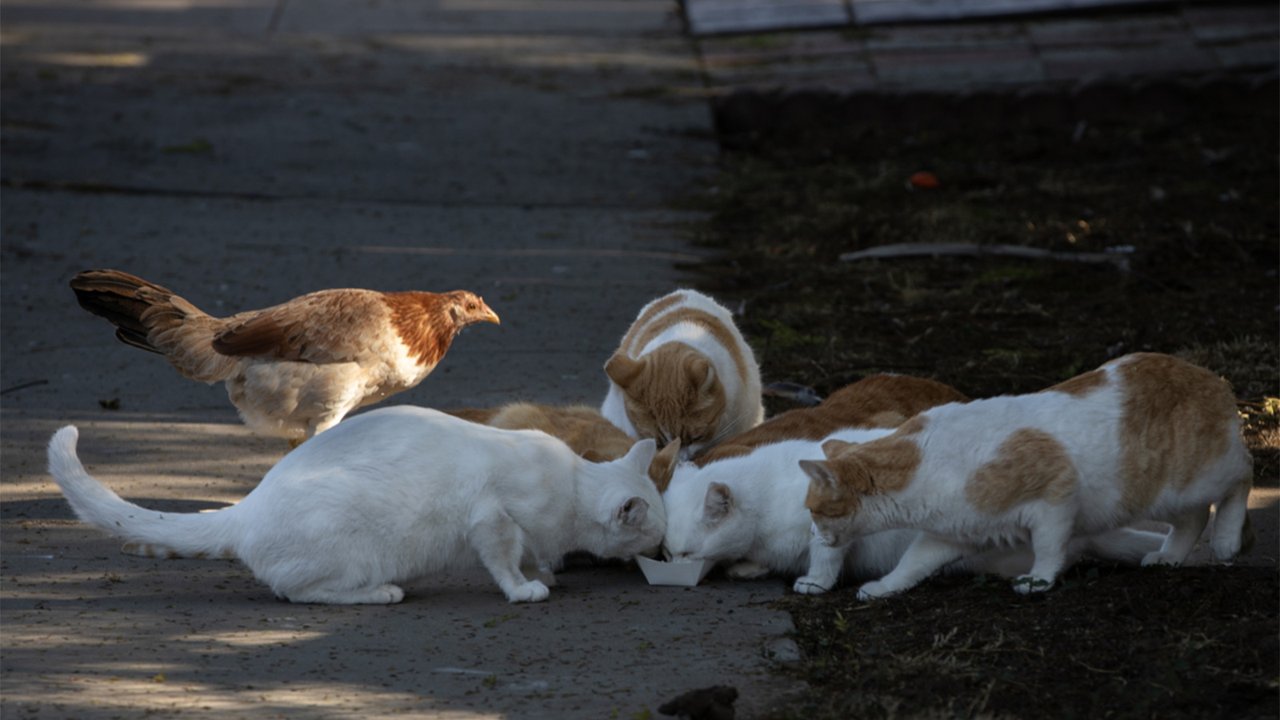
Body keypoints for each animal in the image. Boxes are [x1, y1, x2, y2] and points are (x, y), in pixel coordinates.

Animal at [45, 407, 665, 602]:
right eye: (654, 534)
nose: (664, 550)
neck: (573, 485)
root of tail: (249, 505)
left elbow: (534, 553)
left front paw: (545, 573)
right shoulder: (491, 517)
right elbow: (506, 560)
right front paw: (525, 588)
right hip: (348, 539)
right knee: (297, 590)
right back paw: (382, 592)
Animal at [803, 351, 1254, 597]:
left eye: (814, 512)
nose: (815, 537)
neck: (926, 464)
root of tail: (1212, 375)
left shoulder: (1056, 496)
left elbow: (1050, 548)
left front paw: (1038, 581)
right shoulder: (951, 534)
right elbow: (912, 563)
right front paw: (884, 588)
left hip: (1196, 475)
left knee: (1242, 474)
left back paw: (1228, 541)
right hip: (1161, 496)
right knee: (1194, 517)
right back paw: (1170, 556)